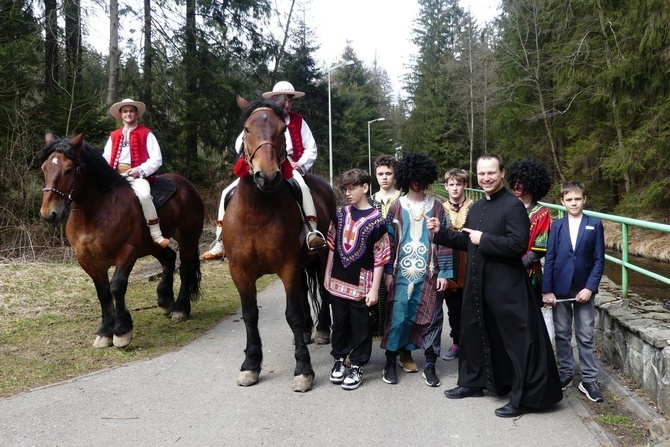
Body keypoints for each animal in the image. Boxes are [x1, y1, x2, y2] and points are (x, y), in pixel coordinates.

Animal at [40, 133, 203, 350]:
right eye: (44, 168)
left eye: (68, 170)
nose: (49, 213)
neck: (94, 215)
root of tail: (187, 185)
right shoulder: (88, 261)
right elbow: (103, 293)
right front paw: (104, 332)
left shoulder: (127, 252)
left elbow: (116, 286)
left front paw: (122, 331)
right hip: (152, 245)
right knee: (169, 258)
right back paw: (165, 299)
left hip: (188, 238)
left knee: (184, 269)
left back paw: (181, 309)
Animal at [224, 98, 336, 392]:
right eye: (246, 129)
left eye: (282, 130)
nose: (267, 177)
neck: (255, 211)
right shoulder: (239, 271)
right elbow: (250, 315)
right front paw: (250, 365)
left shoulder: (287, 266)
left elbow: (292, 314)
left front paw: (304, 369)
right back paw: (308, 331)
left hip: (320, 259)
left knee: (322, 291)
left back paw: (321, 330)